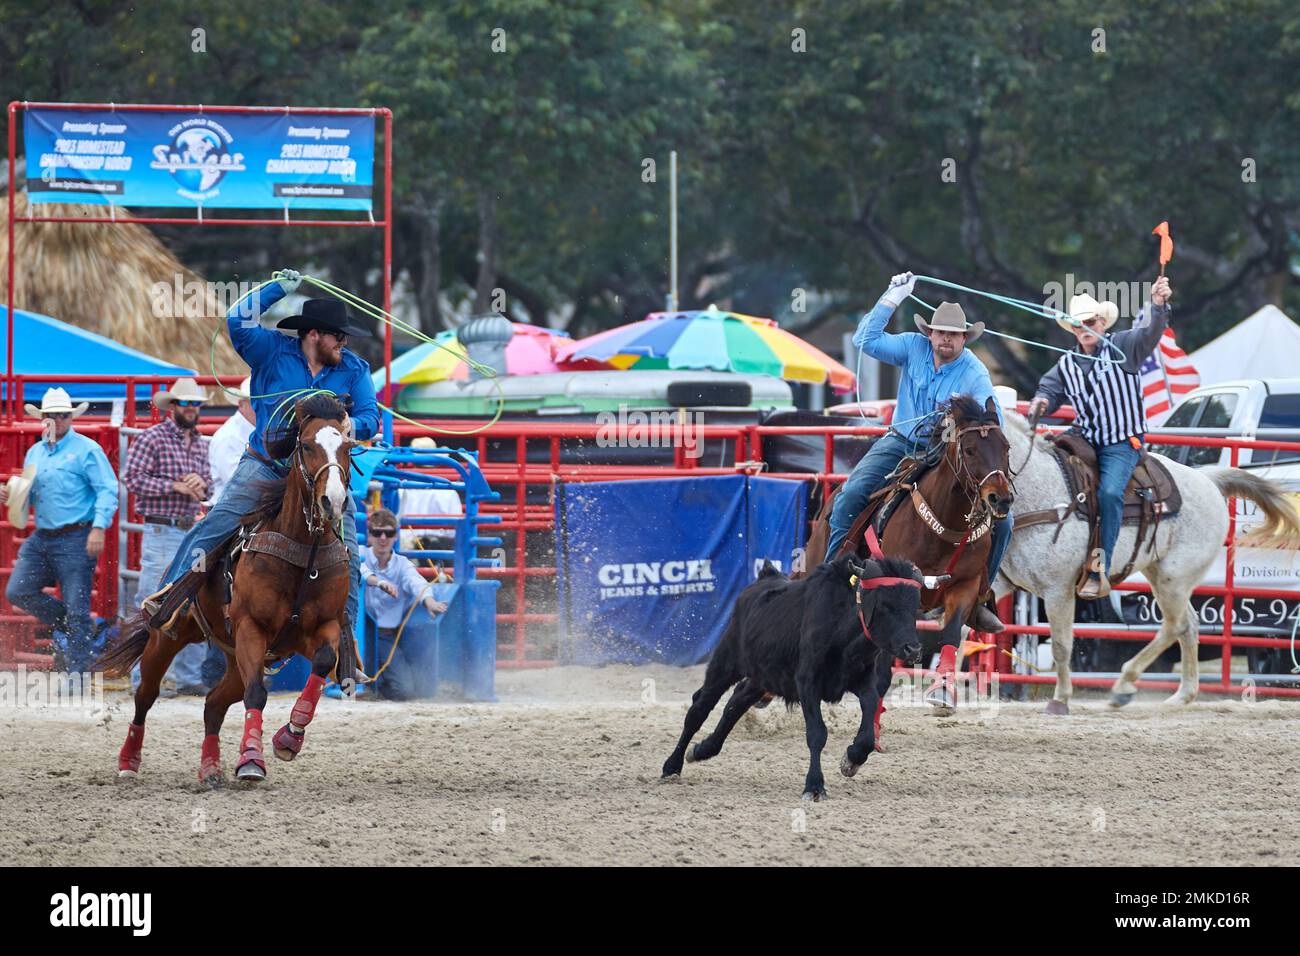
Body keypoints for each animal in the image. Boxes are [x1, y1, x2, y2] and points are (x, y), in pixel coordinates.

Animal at [98, 395, 358, 785]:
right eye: (307, 445)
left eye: (348, 446)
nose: (333, 501)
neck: (303, 553)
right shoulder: (252, 627)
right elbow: (257, 694)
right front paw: (251, 760)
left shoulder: (322, 628)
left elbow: (324, 661)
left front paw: (289, 738)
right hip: (169, 639)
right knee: (146, 695)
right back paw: (129, 760)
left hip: (237, 658)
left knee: (214, 703)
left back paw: (210, 767)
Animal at [660, 554, 925, 801]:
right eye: (886, 605)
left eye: (915, 608)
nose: (913, 649)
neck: (841, 628)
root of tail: (763, 578)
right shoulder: (807, 683)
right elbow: (817, 733)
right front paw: (814, 786)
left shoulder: (863, 680)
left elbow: (869, 723)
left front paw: (852, 759)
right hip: (725, 662)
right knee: (699, 709)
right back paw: (672, 765)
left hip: (763, 676)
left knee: (736, 702)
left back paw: (704, 749)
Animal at [800, 392, 1013, 712]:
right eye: (970, 450)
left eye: (1006, 447)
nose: (1000, 498)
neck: (945, 528)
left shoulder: (965, 586)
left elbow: (951, 633)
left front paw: (943, 690)